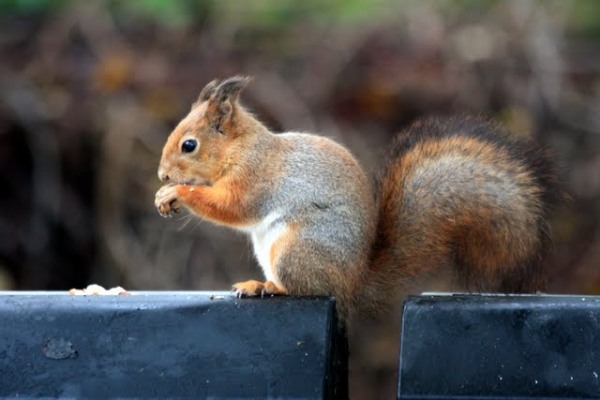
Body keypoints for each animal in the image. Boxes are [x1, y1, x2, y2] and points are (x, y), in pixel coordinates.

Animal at [155, 76, 561, 322]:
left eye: (189, 145)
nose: (162, 175)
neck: (241, 149)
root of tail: (354, 283)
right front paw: (164, 195)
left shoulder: (255, 179)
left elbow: (232, 207)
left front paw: (178, 192)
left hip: (296, 249)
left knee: (306, 289)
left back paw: (268, 287)